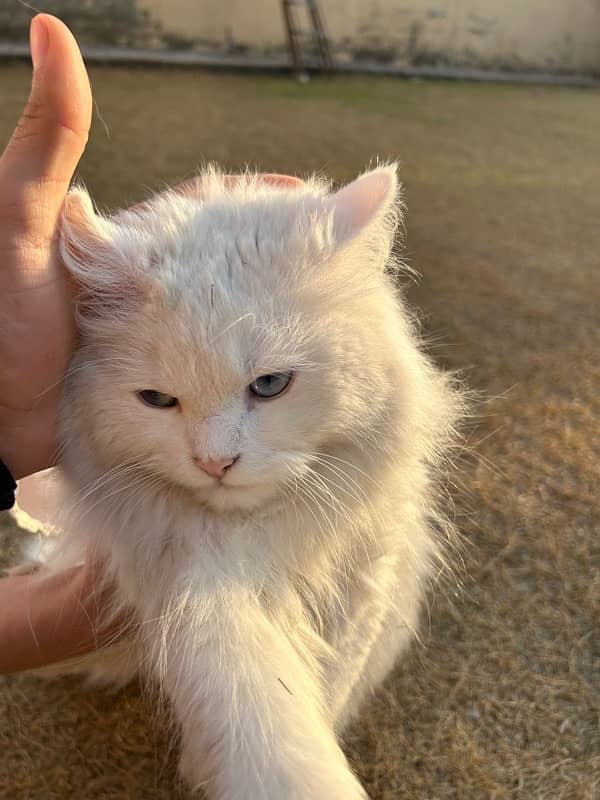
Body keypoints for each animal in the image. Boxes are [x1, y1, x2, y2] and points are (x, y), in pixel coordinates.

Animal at [18, 166, 462, 796]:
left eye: (270, 385)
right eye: (157, 401)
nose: (215, 463)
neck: (259, 537)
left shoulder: (369, 571)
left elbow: (333, 681)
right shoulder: (189, 579)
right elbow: (261, 717)